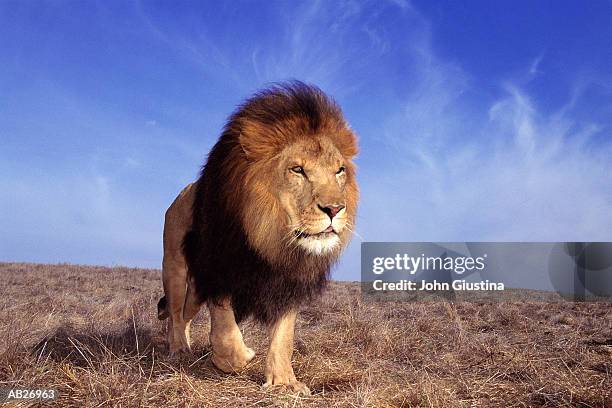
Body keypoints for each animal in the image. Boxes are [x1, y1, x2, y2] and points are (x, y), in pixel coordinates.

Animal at [157, 81, 358, 394]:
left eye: (339, 171)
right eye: (297, 169)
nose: (335, 209)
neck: (270, 237)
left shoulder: (289, 280)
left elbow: (284, 336)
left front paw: (284, 382)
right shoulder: (219, 267)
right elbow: (225, 328)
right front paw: (234, 359)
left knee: (185, 315)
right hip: (175, 268)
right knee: (176, 312)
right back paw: (178, 349)